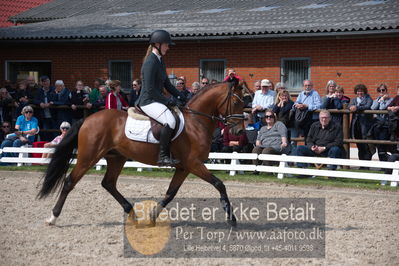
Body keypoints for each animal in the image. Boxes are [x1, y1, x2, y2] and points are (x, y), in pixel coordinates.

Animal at [38, 81, 250, 227]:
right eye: (236, 102)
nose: (239, 131)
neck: (196, 121)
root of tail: (88, 119)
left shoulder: (184, 167)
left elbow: (170, 193)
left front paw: (152, 218)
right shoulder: (194, 164)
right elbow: (219, 184)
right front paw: (231, 218)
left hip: (117, 157)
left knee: (108, 183)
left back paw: (132, 213)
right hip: (88, 157)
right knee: (69, 182)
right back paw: (52, 217)